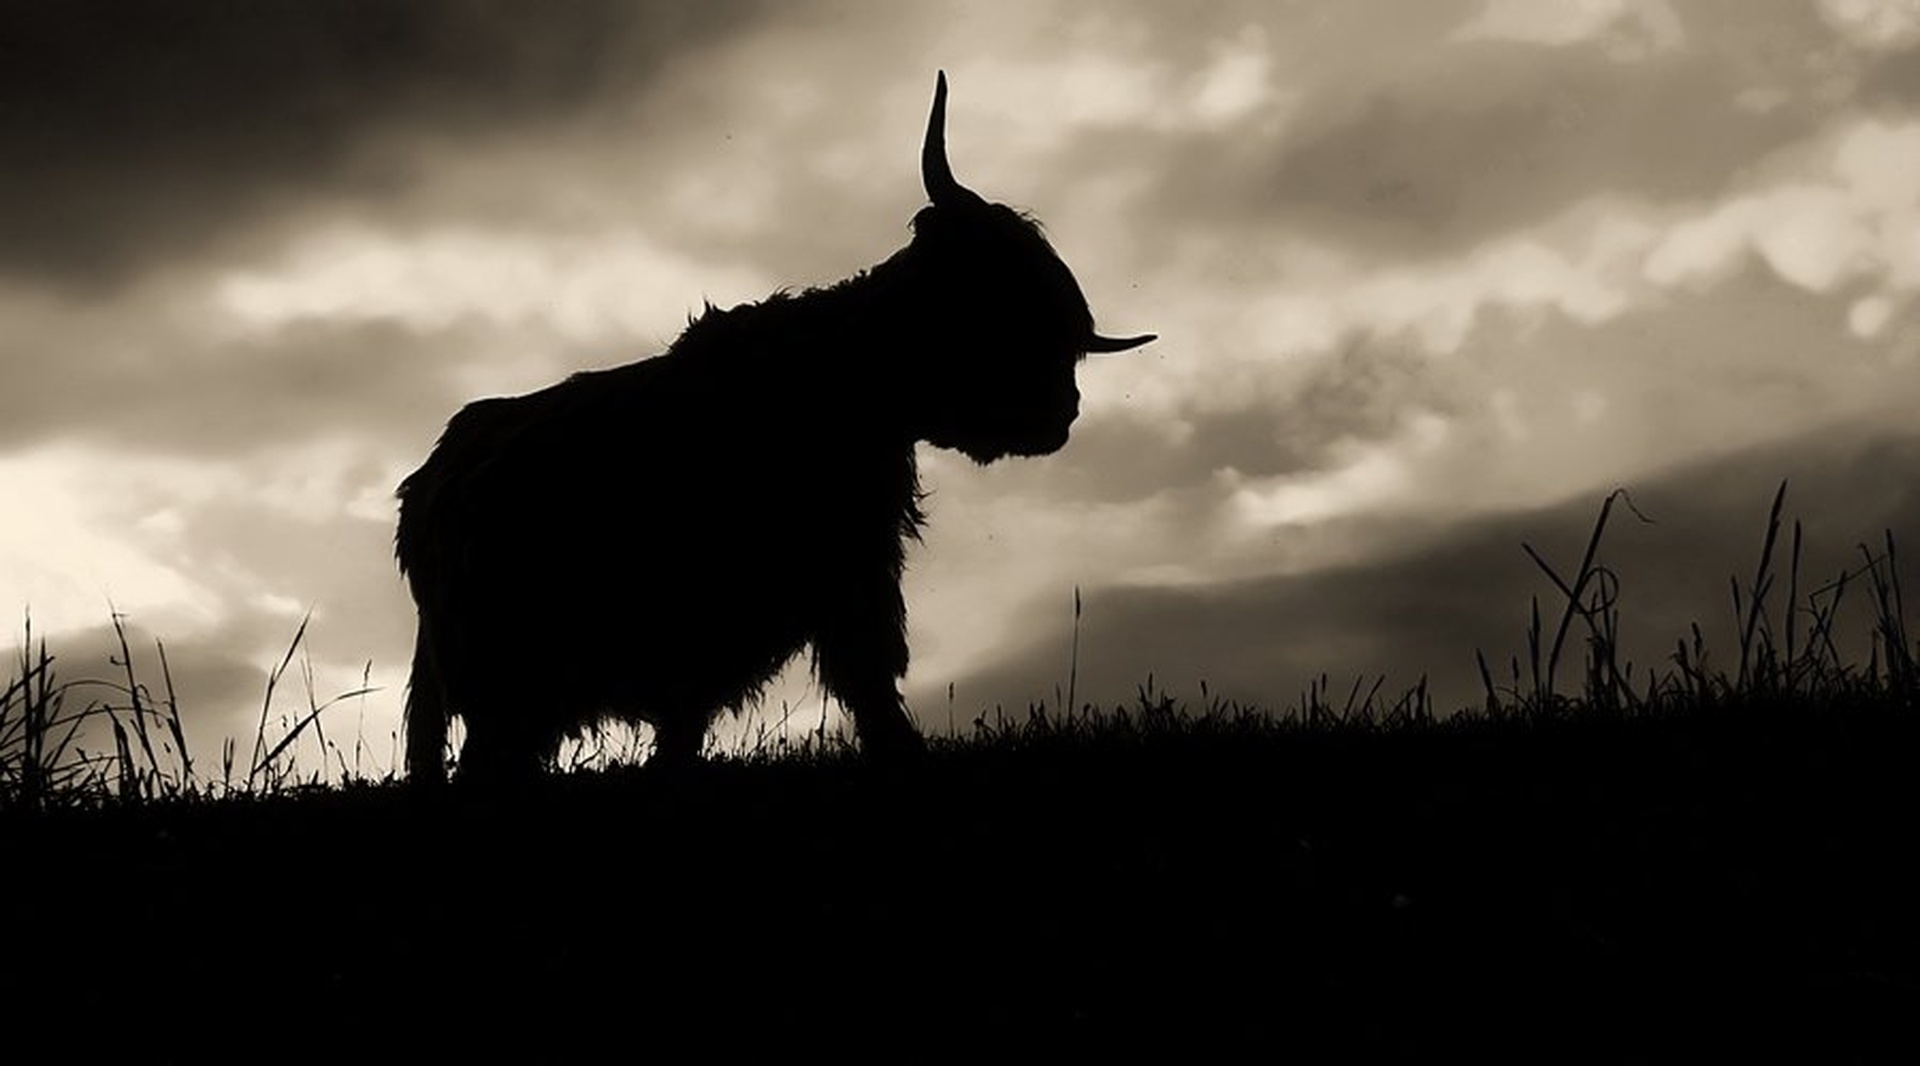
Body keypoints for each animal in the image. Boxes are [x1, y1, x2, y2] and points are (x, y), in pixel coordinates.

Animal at [396, 72, 1154, 783]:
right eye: (1002, 300)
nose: (1064, 409)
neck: (842, 379)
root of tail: (432, 475)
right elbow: (866, 683)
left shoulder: (839, 583)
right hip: (503, 680)